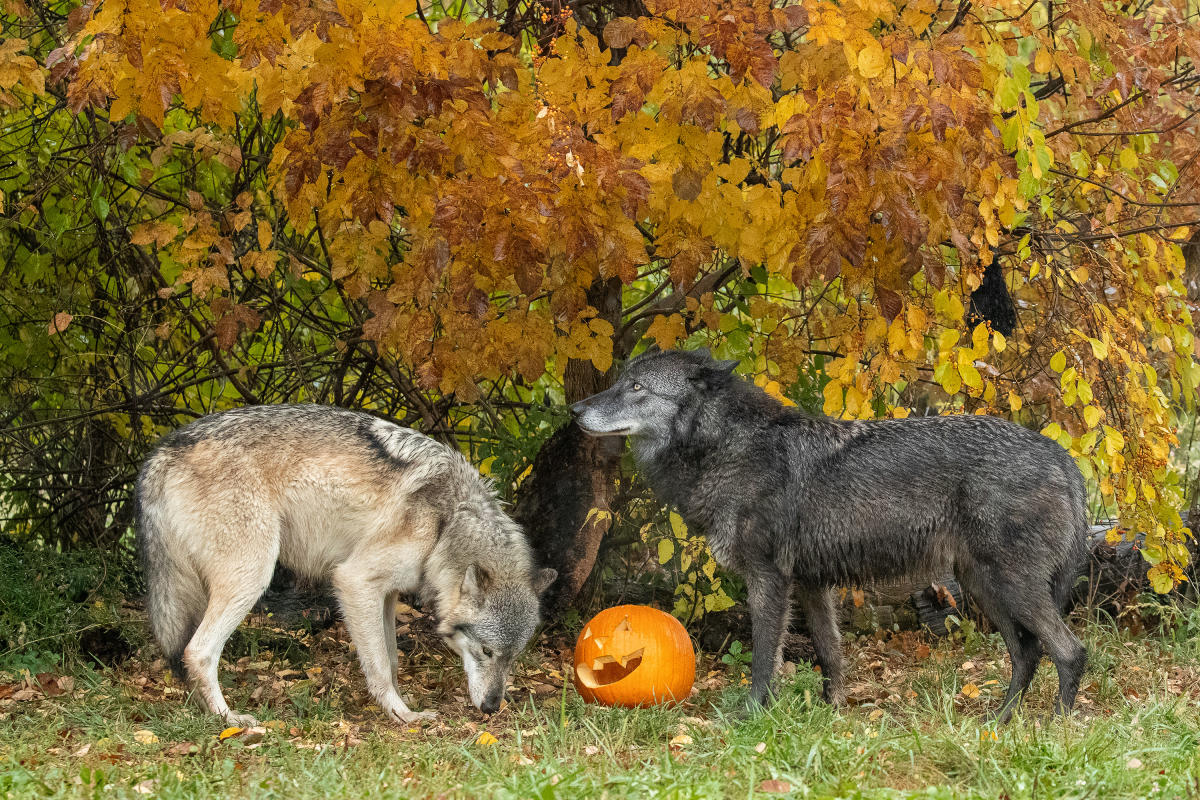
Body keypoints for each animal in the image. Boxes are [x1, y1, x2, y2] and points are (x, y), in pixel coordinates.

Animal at [135, 404, 556, 726]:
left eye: (511, 657)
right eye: (486, 652)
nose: (491, 708)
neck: (448, 520)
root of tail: (162, 452)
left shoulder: (384, 593)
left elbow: (390, 659)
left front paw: (397, 705)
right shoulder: (355, 581)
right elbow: (381, 665)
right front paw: (403, 716)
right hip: (252, 577)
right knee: (197, 651)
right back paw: (228, 720)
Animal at [572, 349, 1089, 721]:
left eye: (636, 387)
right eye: (619, 380)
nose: (574, 409)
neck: (726, 447)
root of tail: (1058, 453)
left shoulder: (769, 580)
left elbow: (764, 658)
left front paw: (751, 717)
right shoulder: (811, 585)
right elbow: (830, 655)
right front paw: (831, 714)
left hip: (1009, 587)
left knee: (1069, 650)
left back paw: (1054, 727)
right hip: (987, 588)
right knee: (1027, 654)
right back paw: (997, 723)